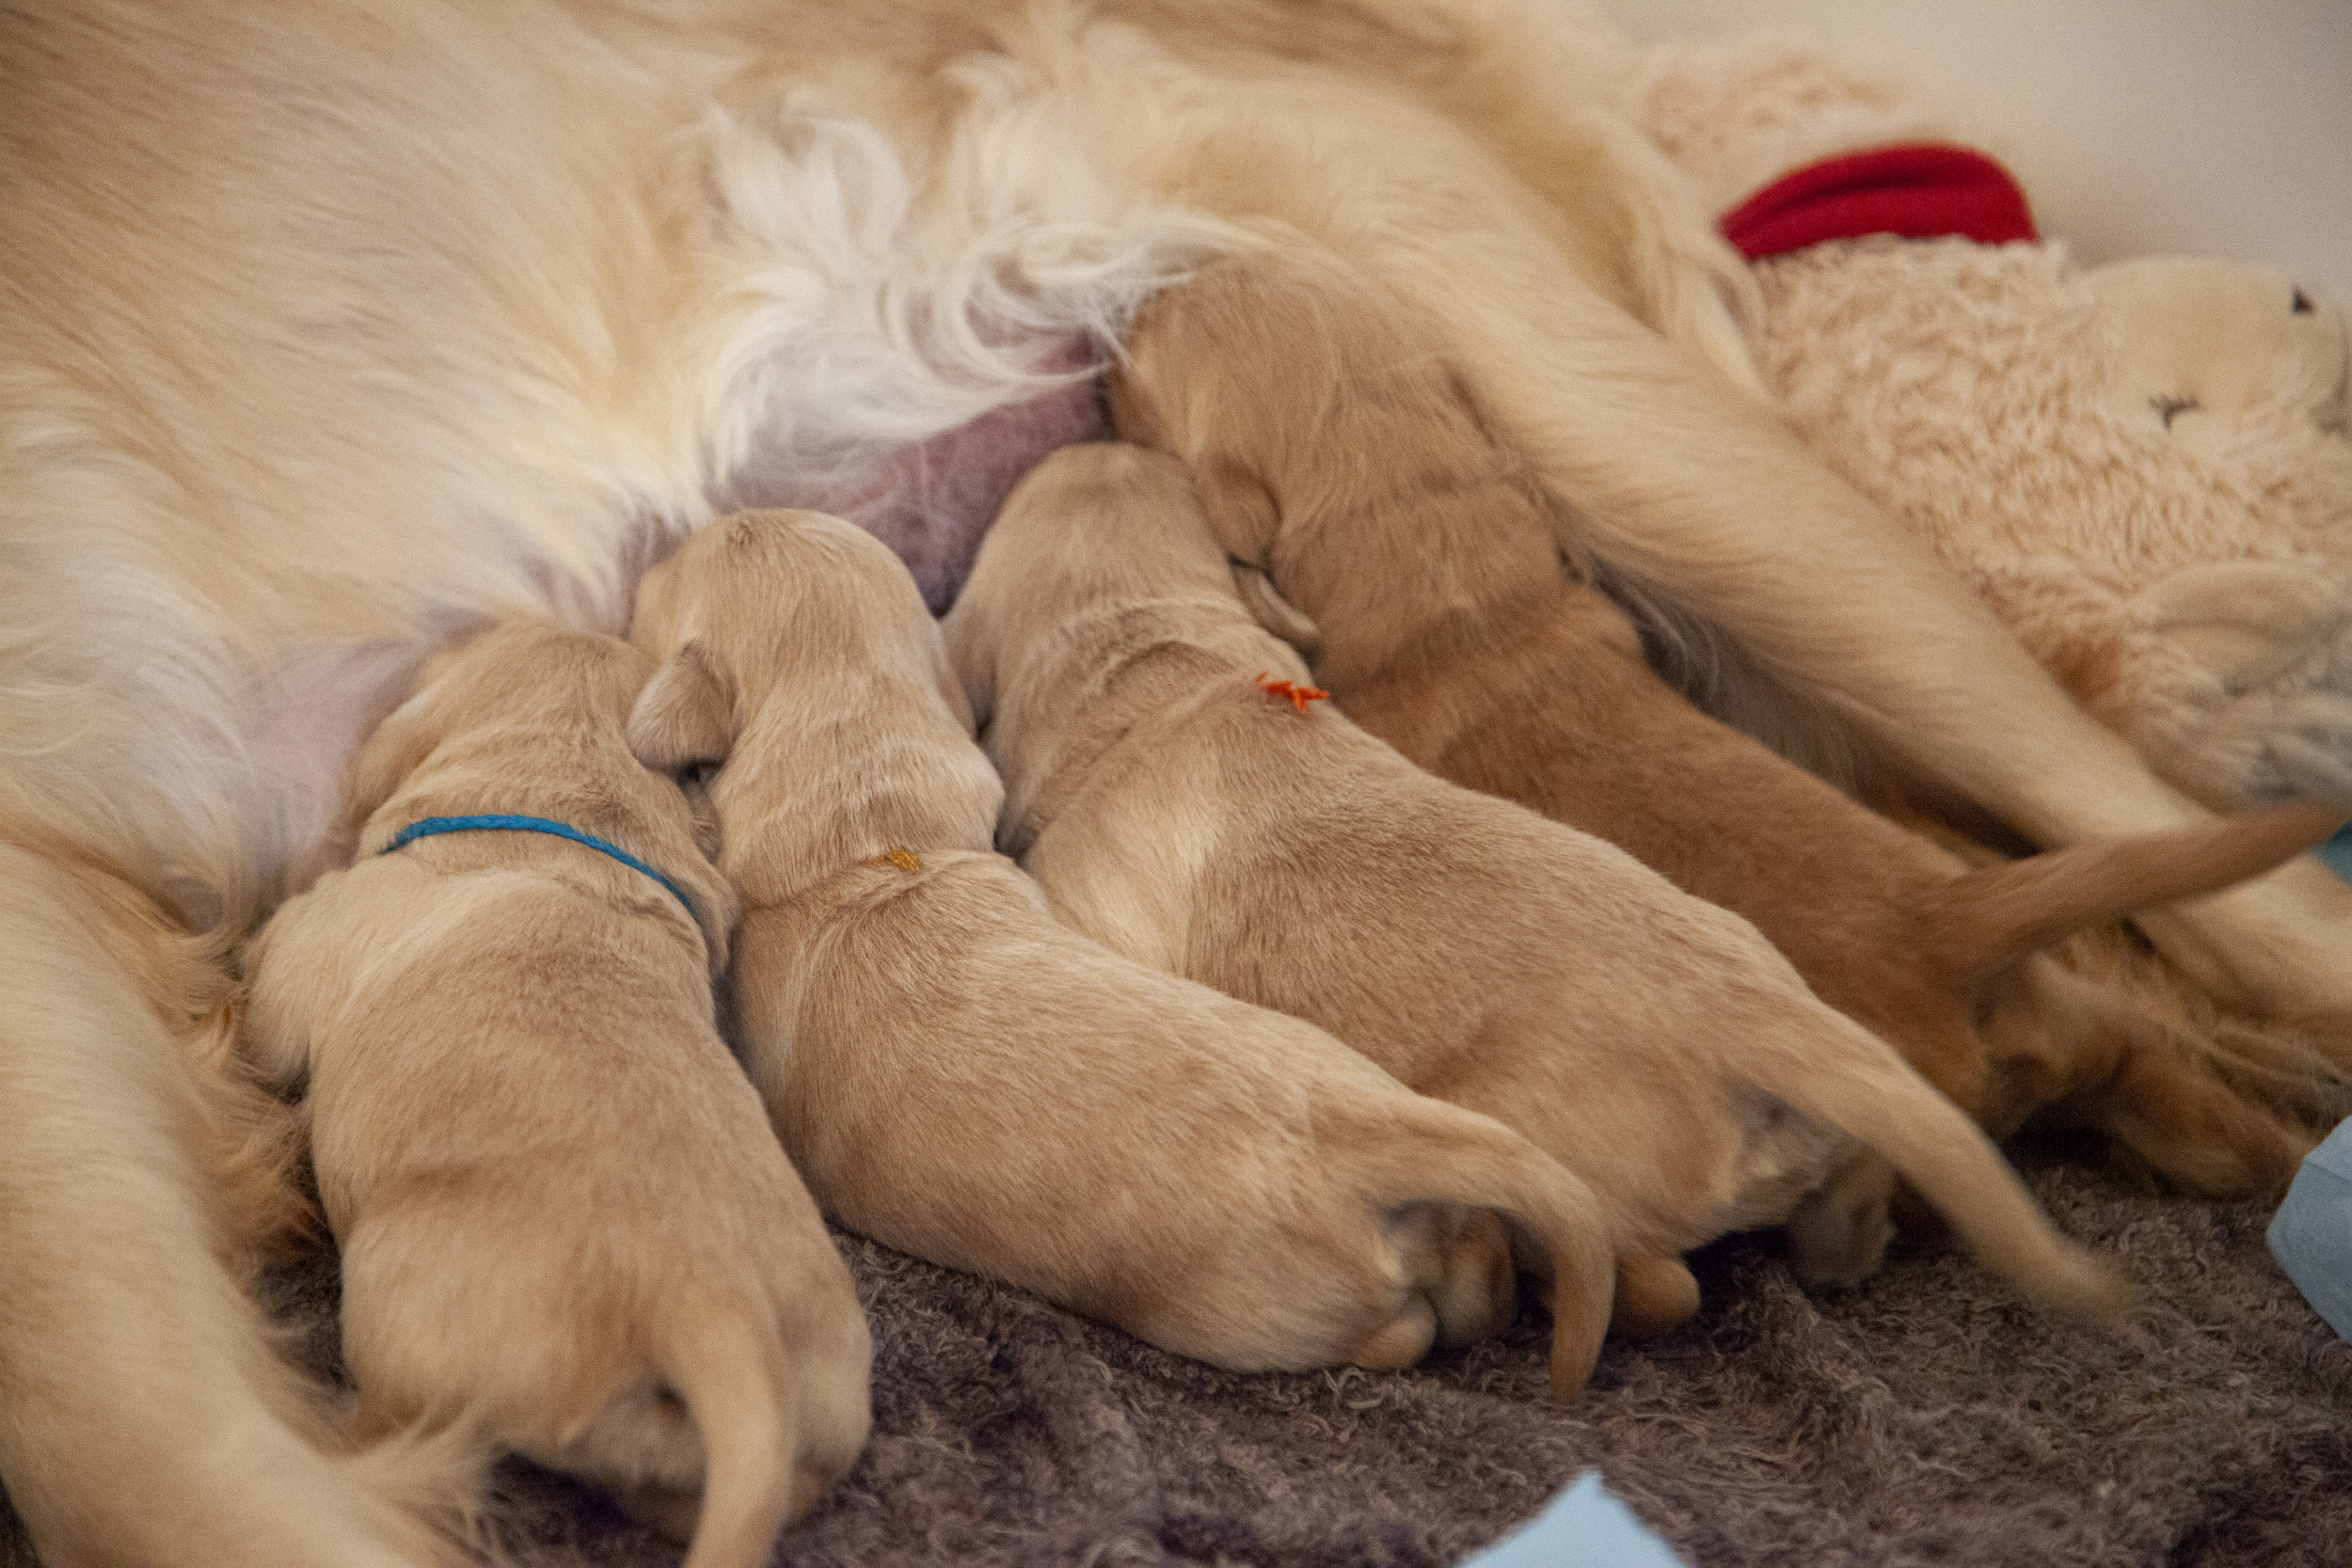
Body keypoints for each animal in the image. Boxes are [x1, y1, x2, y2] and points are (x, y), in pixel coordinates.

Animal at [626, 512, 1618, 1401]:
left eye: (670, 572)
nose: (655, 544)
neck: (863, 830)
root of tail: (1362, 1133)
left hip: (1258, 1308)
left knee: (1395, 1332)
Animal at [941, 441, 2136, 1335]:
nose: (1097, 433)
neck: (1149, 657)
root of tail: (1757, 1015)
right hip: (1828, 1113)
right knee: (1843, 1195)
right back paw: (1843, 1248)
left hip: (1564, 1152)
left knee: (1653, 1279)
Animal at [1110, 251, 2343, 1259]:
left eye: (1143, 352)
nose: (1130, 286)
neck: (1442, 564)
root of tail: (1946, 924)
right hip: (2095, 1036)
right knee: (2191, 1101)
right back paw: (2281, 1157)